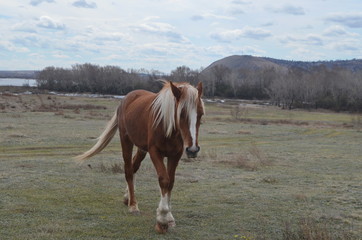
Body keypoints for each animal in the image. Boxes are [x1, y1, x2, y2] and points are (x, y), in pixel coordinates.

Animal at [75, 80, 205, 232]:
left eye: (201, 114)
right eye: (182, 113)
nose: (192, 150)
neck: (166, 125)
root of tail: (127, 98)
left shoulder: (175, 154)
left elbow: (171, 182)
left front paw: (169, 218)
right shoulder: (155, 152)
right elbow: (164, 180)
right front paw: (162, 219)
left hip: (142, 149)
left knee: (133, 167)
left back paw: (127, 198)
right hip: (126, 140)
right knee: (128, 170)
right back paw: (133, 205)